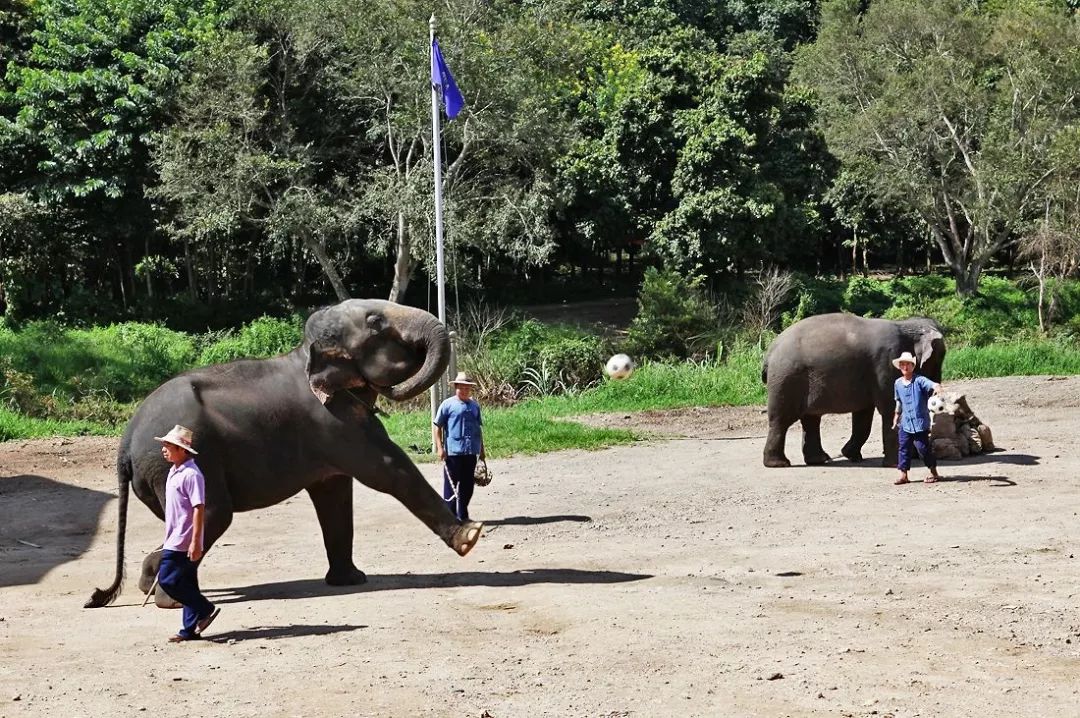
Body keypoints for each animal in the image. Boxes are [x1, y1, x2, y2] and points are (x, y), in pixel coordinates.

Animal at [86, 295, 483, 604]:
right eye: (375, 322)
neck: (305, 354)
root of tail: (125, 443)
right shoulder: (333, 421)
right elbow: (387, 468)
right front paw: (470, 536)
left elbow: (335, 494)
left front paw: (350, 580)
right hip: (180, 463)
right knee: (214, 513)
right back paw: (167, 595)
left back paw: (158, 585)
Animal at [760, 310, 946, 468]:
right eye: (937, 361)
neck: (906, 324)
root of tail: (769, 353)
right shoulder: (888, 362)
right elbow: (890, 408)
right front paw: (894, 464)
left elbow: (864, 415)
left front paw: (851, 455)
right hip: (786, 380)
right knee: (781, 420)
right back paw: (779, 464)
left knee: (810, 419)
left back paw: (819, 460)